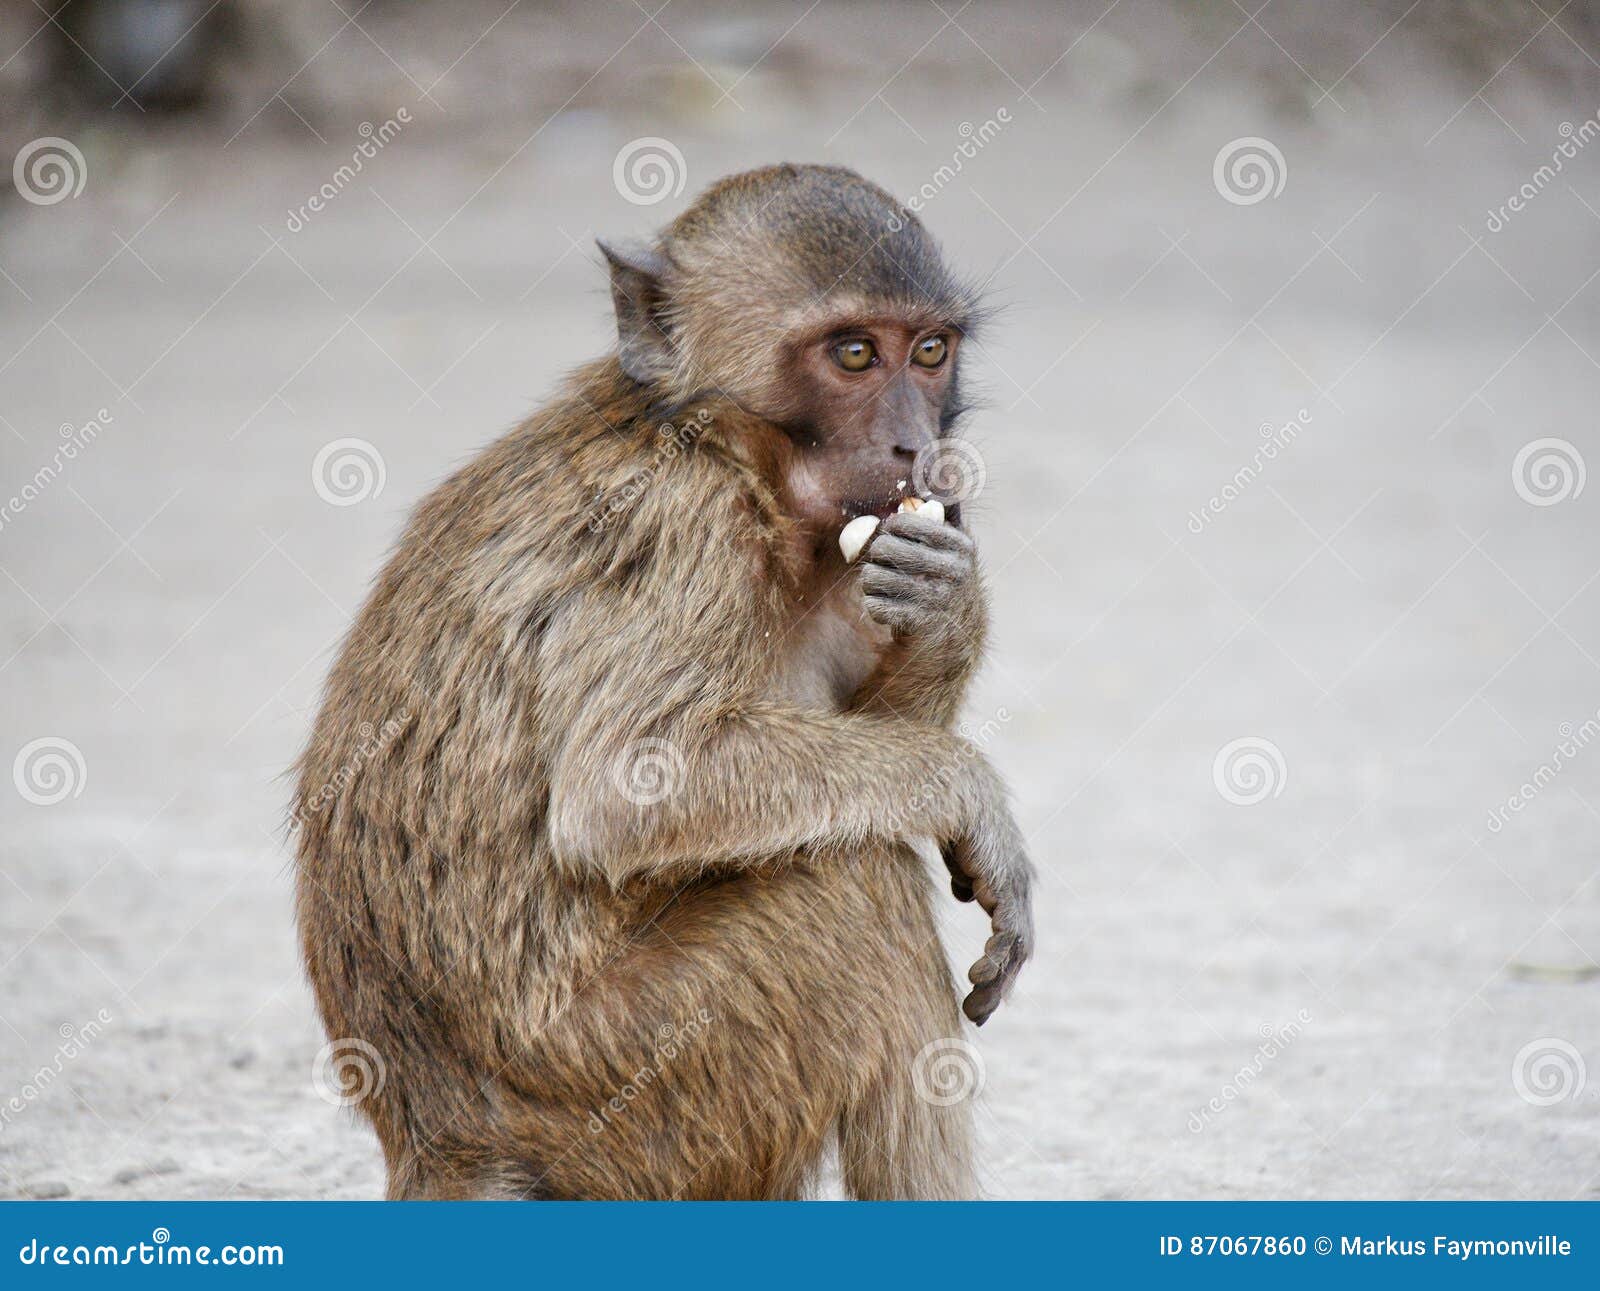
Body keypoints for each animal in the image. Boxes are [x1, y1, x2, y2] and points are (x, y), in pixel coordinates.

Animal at [292, 163, 1035, 1201]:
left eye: (930, 351)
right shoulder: (686, 531)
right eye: (854, 353)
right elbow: (624, 789)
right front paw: (973, 798)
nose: (916, 447)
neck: (724, 444)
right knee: (853, 883)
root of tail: (437, 1144)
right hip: (620, 1091)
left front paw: (947, 609)